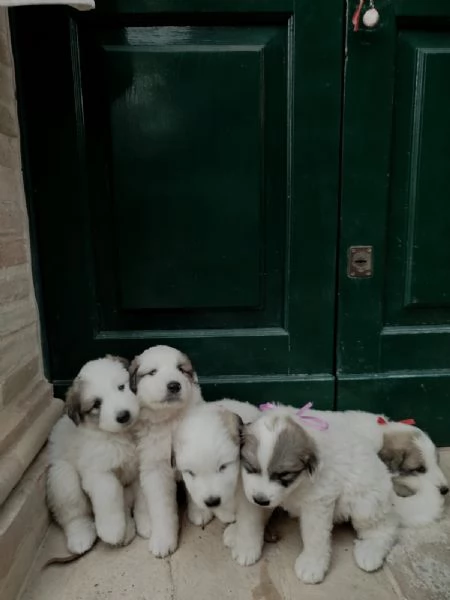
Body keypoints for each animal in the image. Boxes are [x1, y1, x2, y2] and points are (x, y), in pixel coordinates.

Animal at [46, 354, 140, 556]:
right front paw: (112, 531)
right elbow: (110, 493)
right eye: (97, 404)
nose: (123, 416)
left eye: (121, 387)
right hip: (62, 477)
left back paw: (127, 529)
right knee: (74, 515)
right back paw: (81, 537)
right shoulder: (98, 472)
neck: (121, 435)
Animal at [127, 344, 203, 560]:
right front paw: (163, 541)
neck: (169, 420)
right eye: (152, 372)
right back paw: (146, 525)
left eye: (180, 369)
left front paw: (200, 512)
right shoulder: (154, 470)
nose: (174, 385)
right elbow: (161, 509)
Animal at [225, 406, 398, 584]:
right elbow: (250, 521)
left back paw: (370, 552)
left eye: (284, 474)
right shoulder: (250, 493)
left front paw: (312, 564)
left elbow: (315, 536)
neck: (297, 484)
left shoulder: (317, 503)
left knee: (385, 528)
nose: (261, 500)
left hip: (365, 503)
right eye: (251, 468)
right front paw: (246, 545)